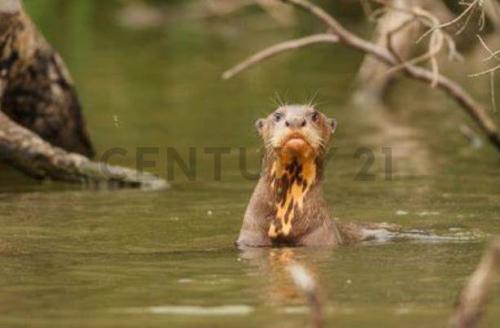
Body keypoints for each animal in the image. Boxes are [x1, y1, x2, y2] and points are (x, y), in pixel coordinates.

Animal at [238, 104, 398, 247]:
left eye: (314, 115)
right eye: (277, 115)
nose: (295, 120)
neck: (285, 222)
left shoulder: (321, 237)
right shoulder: (252, 235)